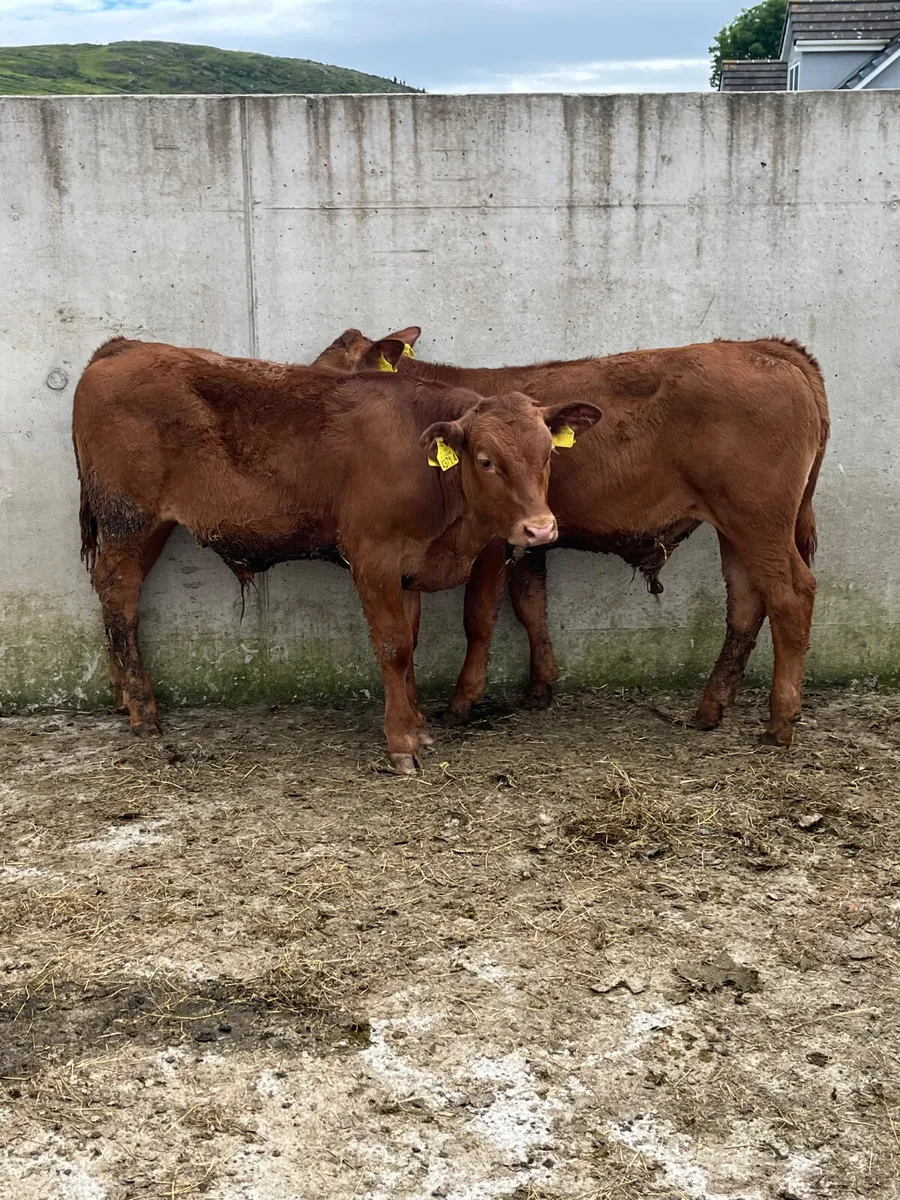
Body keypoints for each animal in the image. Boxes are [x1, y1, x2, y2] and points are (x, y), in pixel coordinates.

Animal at [72, 337, 602, 772]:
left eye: (548, 455)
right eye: (487, 460)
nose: (540, 528)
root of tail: (124, 347)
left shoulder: (408, 568)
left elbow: (410, 642)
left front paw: (419, 726)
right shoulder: (373, 558)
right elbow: (393, 646)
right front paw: (402, 741)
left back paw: (123, 697)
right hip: (129, 519)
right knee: (120, 597)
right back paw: (143, 709)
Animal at [313, 327, 830, 747]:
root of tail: (765, 348)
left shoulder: (494, 542)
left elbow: (479, 617)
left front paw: (463, 700)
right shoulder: (528, 539)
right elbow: (531, 605)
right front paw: (540, 686)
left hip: (759, 518)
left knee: (791, 595)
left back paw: (780, 722)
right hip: (735, 524)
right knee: (746, 602)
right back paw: (711, 708)